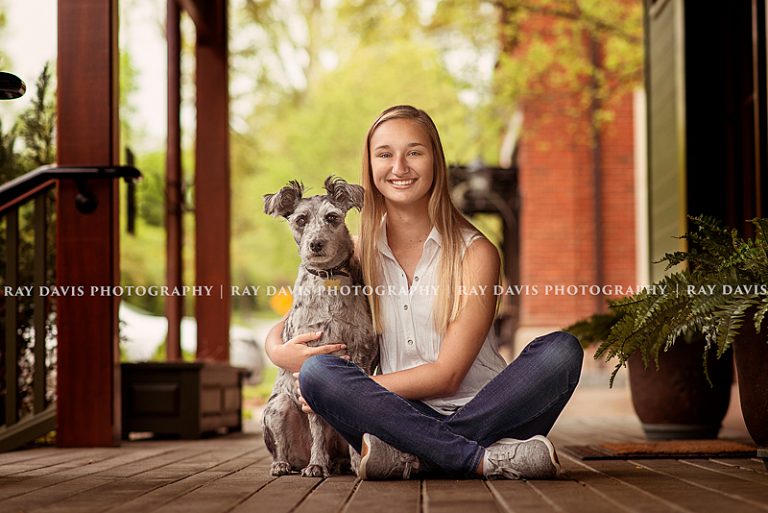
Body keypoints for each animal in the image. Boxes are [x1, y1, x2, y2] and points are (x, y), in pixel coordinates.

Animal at [260, 175, 378, 476]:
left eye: (332, 217)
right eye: (301, 219)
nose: (316, 244)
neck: (329, 278)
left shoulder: (361, 354)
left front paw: (357, 461)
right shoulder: (307, 357)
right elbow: (316, 427)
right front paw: (316, 464)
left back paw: (342, 462)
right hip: (278, 407)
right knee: (282, 449)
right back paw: (286, 464)